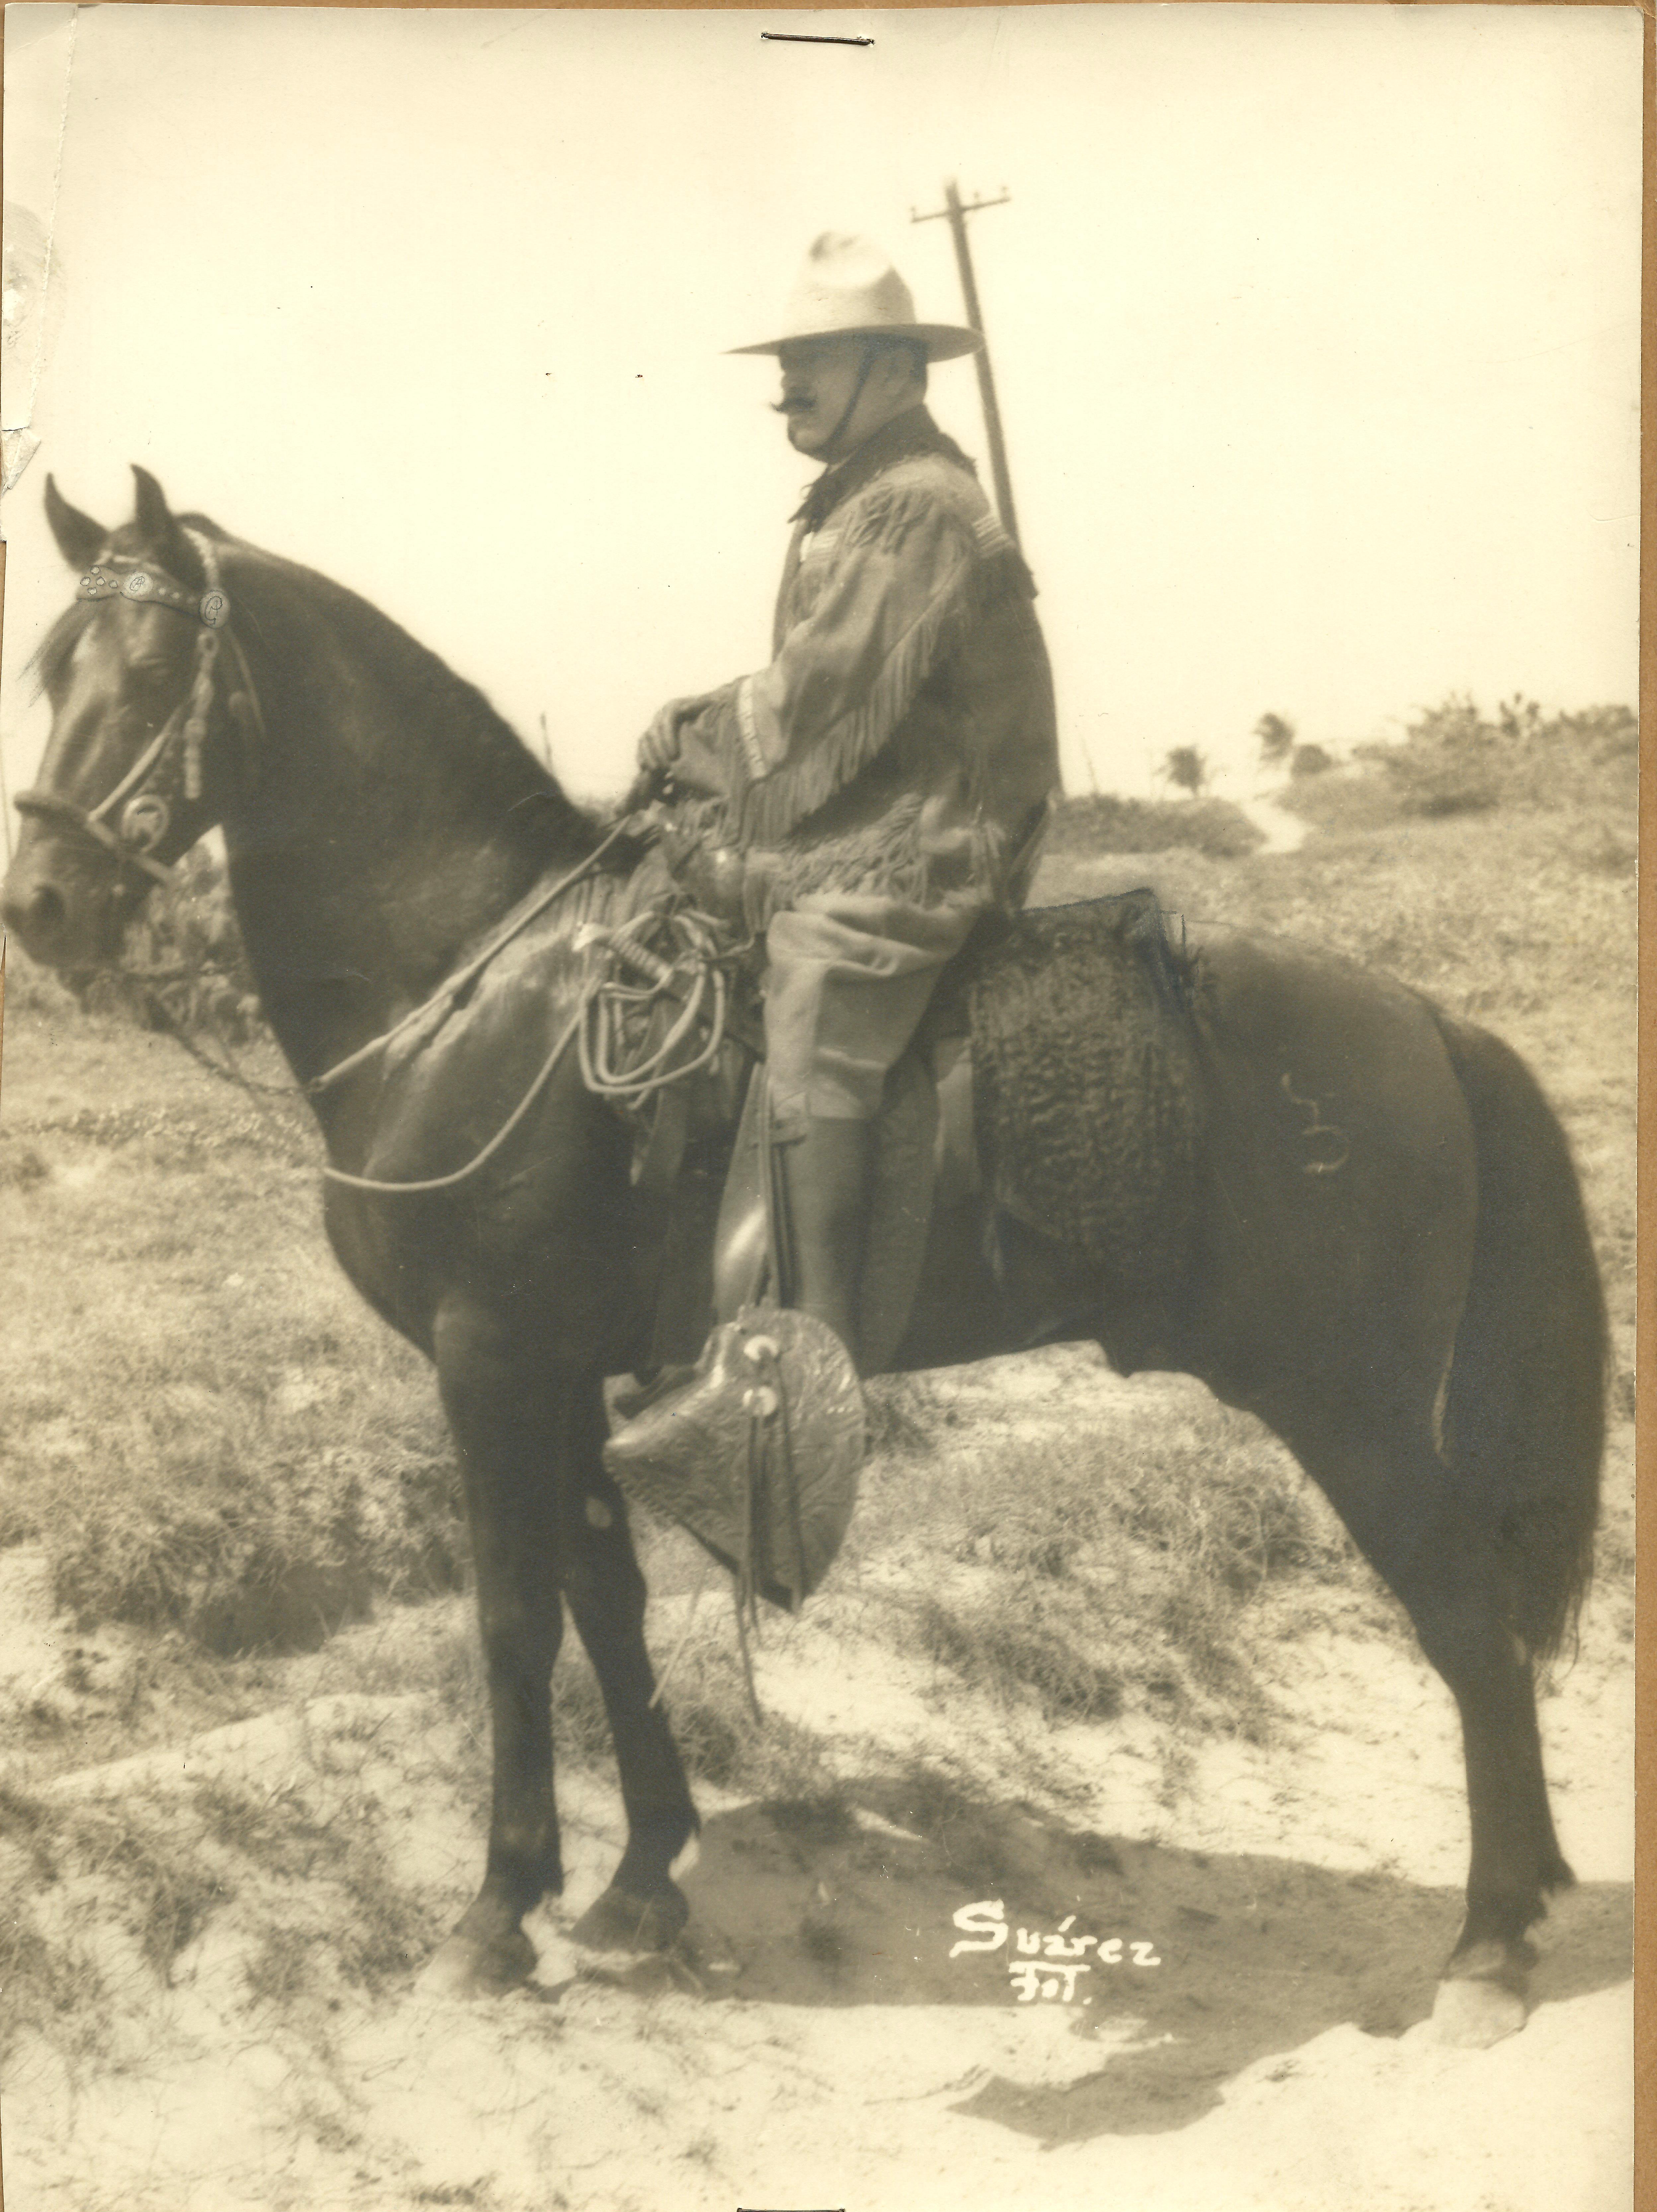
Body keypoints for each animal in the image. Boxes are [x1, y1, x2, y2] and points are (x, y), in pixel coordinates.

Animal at [6, 476, 1593, 2044]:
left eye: (149, 669)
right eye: (52, 671)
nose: (41, 904)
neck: (471, 986)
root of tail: (1428, 1021)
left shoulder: (488, 1355)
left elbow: (514, 1620)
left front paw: (496, 1913)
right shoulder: (564, 1373)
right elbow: (606, 1603)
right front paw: (642, 1878)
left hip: (1351, 1403)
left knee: (1465, 1611)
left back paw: (1486, 1944)